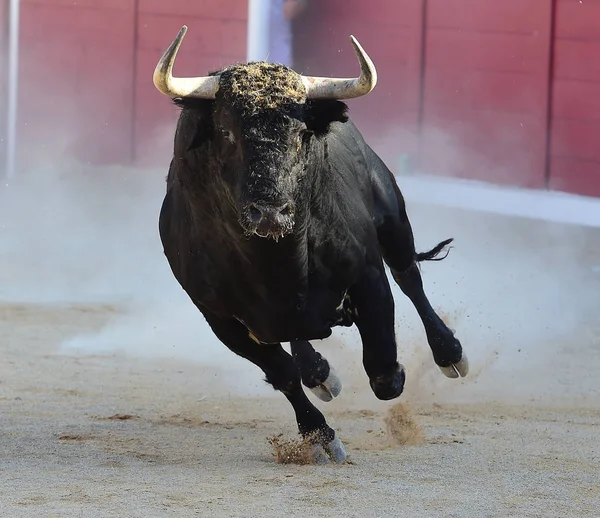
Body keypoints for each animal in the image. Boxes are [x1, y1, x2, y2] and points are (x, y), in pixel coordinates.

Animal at [155, 30, 468, 466]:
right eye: (228, 133)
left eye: (301, 135)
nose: (270, 212)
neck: (277, 263)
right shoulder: (220, 318)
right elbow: (283, 372)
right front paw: (319, 436)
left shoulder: (368, 274)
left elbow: (384, 373)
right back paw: (320, 372)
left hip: (392, 216)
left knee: (409, 277)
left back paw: (450, 353)